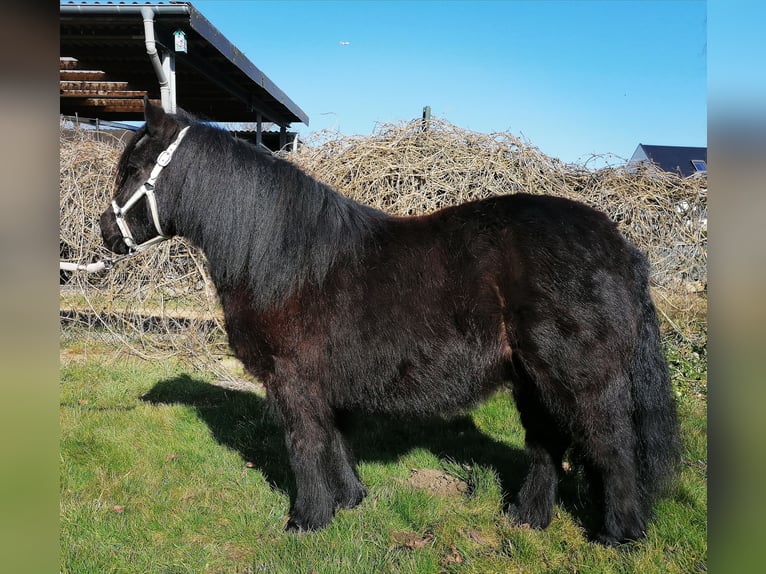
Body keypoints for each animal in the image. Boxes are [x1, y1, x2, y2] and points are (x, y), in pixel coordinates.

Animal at [99, 101, 680, 548]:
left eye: (134, 170)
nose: (105, 231)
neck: (281, 259)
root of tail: (621, 248)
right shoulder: (324, 383)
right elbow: (334, 441)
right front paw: (350, 501)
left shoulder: (293, 379)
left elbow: (304, 446)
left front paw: (307, 521)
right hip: (531, 380)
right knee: (546, 445)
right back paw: (527, 518)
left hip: (581, 380)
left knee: (610, 446)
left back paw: (618, 534)